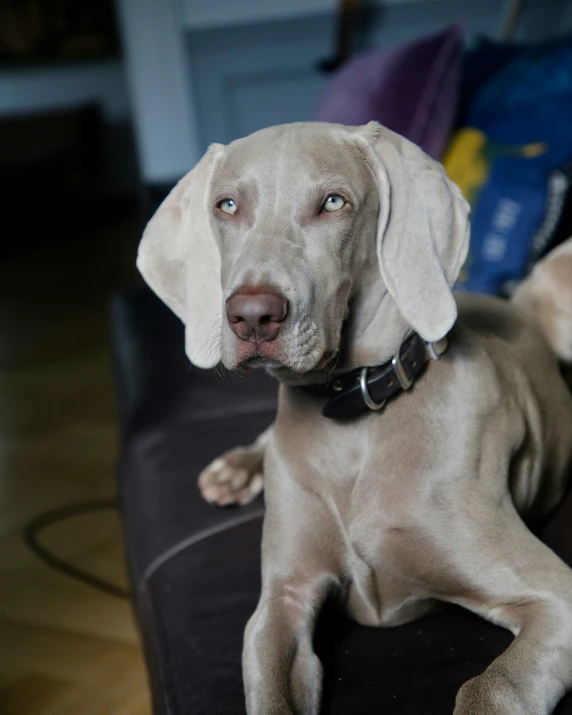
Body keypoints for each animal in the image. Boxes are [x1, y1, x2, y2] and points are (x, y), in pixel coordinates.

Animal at [137, 123, 572, 715]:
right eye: (227, 206)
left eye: (333, 203)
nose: (252, 315)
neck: (352, 415)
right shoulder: (283, 599)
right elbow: (269, 687)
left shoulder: (554, 595)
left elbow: (489, 686)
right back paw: (237, 468)